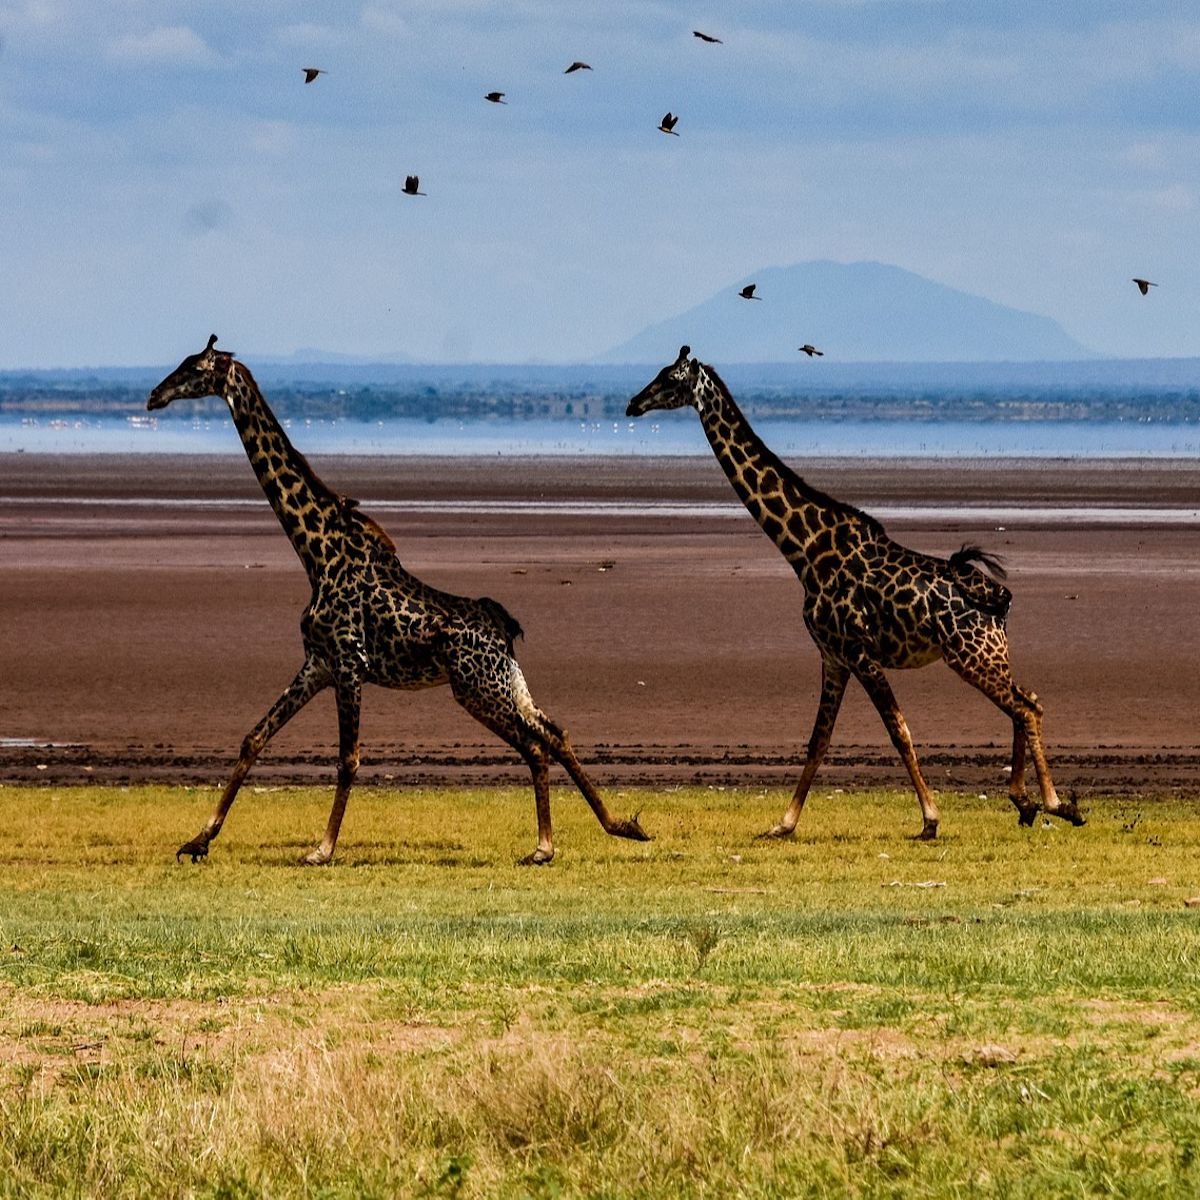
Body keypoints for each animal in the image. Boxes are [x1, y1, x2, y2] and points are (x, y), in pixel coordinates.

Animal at [146, 336, 652, 864]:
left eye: (194, 368)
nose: (154, 396)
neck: (315, 552)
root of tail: (504, 629)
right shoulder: (317, 663)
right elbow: (253, 738)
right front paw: (198, 839)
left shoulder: (349, 663)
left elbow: (348, 759)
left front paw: (321, 849)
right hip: (507, 682)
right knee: (555, 732)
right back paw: (616, 827)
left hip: (477, 688)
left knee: (535, 745)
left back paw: (545, 846)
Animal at [628, 348, 1089, 840]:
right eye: (658, 374)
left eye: (670, 379)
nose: (633, 404)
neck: (804, 551)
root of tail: (1000, 601)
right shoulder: (832, 656)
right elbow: (818, 740)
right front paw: (783, 824)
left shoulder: (859, 652)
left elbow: (899, 731)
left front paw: (930, 820)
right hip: (989, 655)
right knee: (1030, 701)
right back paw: (1026, 803)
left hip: (971, 656)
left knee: (1025, 708)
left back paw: (1056, 804)